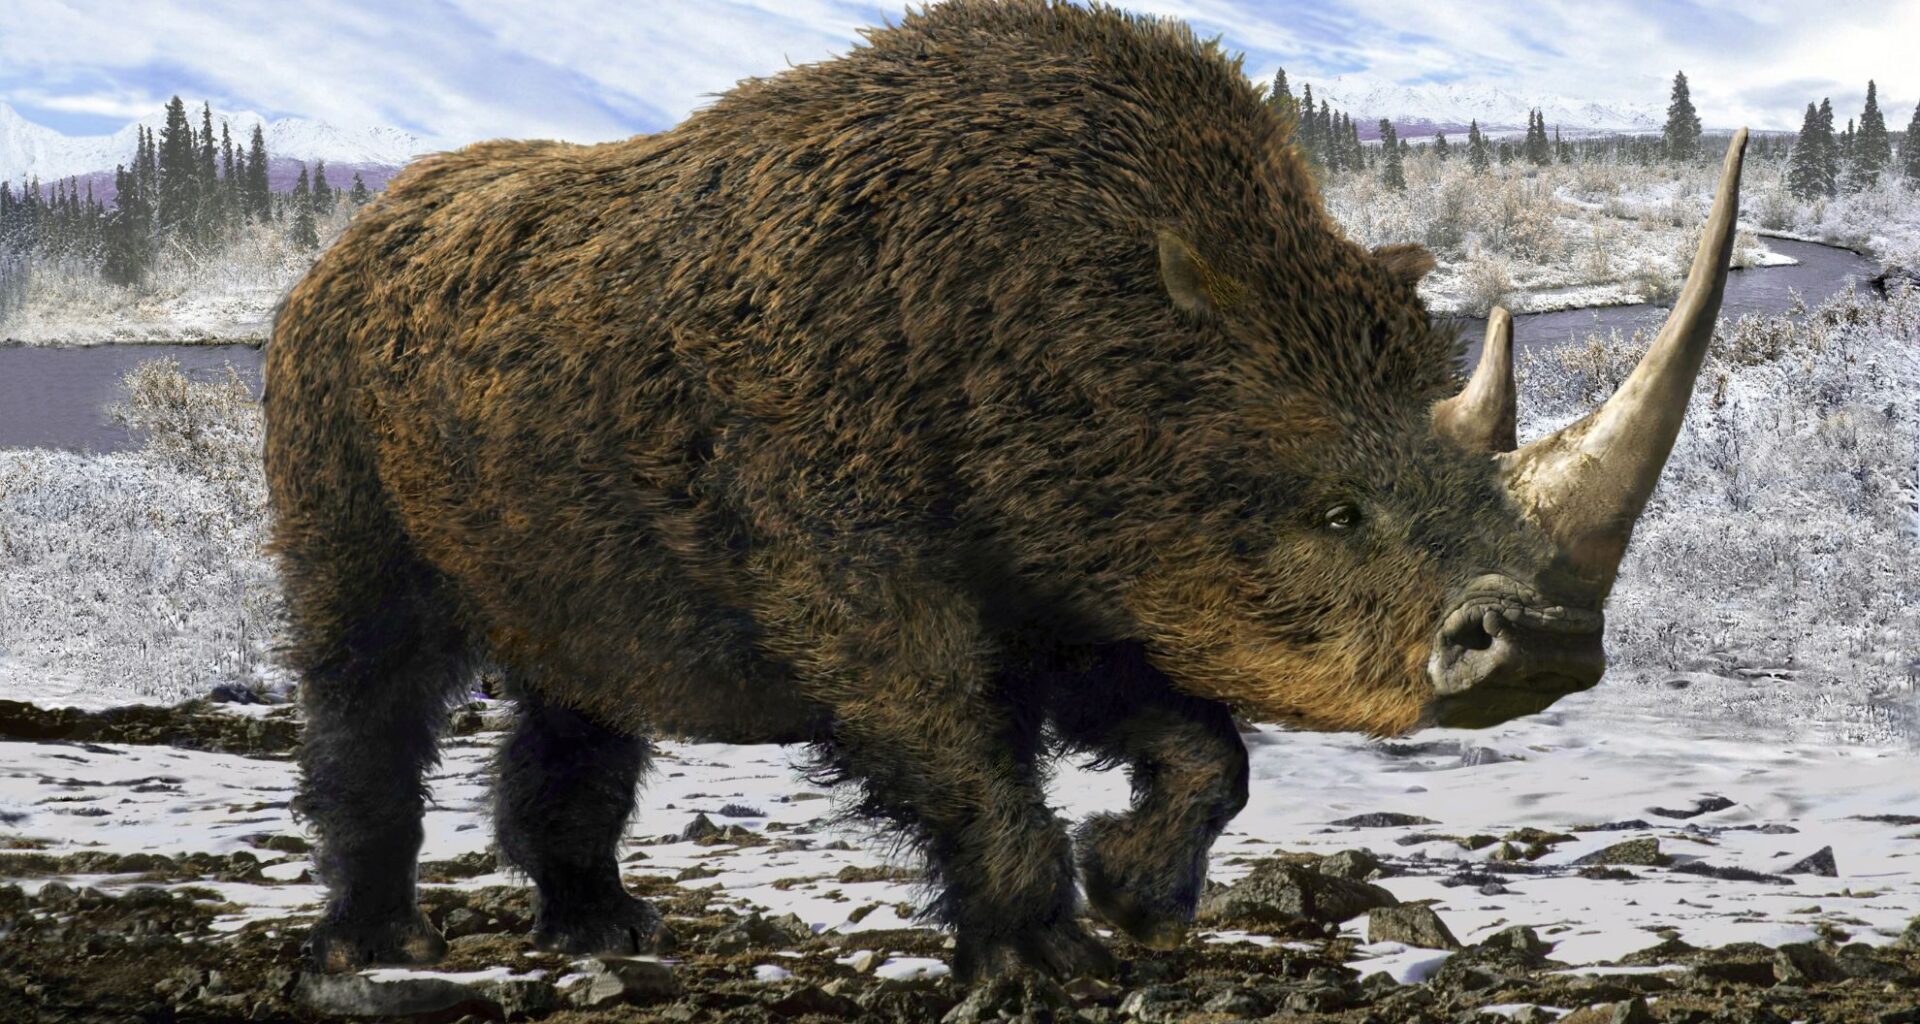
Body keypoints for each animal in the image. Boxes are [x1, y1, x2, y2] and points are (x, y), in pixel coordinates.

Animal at [264, 0, 1747, 981]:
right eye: (1336, 512)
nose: (1542, 647)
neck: (1111, 340)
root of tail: (342, 245)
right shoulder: (859, 569)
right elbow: (959, 747)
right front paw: (1048, 962)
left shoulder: (1090, 567)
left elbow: (1202, 748)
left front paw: (1141, 901)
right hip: (325, 402)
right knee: (368, 659)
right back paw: (372, 950)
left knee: (582, 666)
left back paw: (610, 933)